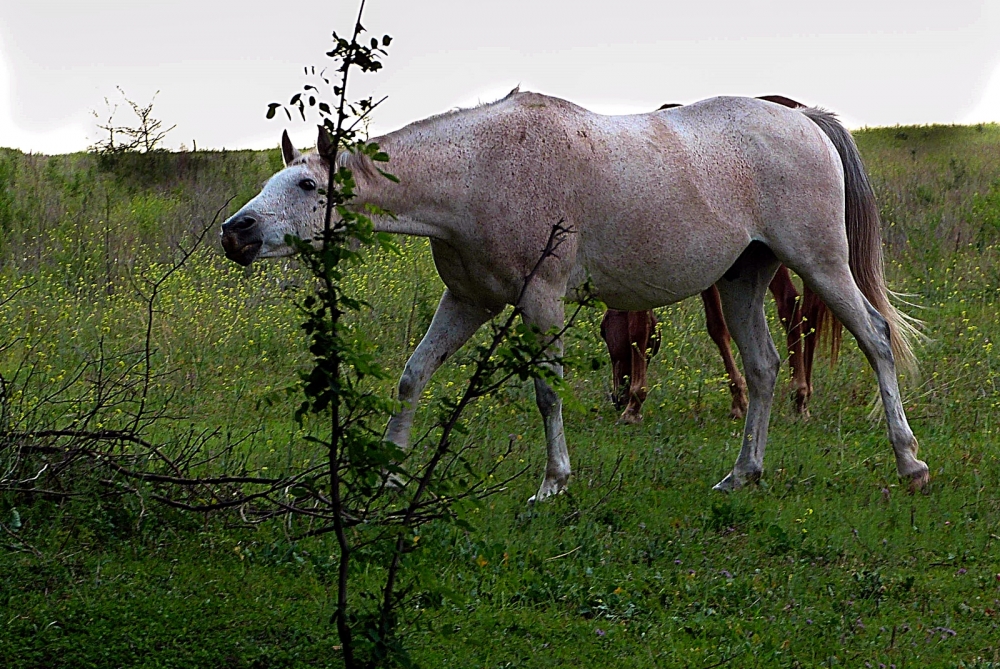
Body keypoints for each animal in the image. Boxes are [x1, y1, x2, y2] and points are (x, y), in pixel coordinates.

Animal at [223, 91, 924, 504]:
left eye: (308, 185)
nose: (237, 232)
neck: (479, 173)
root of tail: (804, 118)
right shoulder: (469, 301)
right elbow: (413, 375)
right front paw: (389, 471)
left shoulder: (542, 301)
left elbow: (546, 390)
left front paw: (553, 482)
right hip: (741, 281)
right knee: (763, 368)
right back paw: (741, 474)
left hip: (821, 264)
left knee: (875, 340)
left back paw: (909, 463)